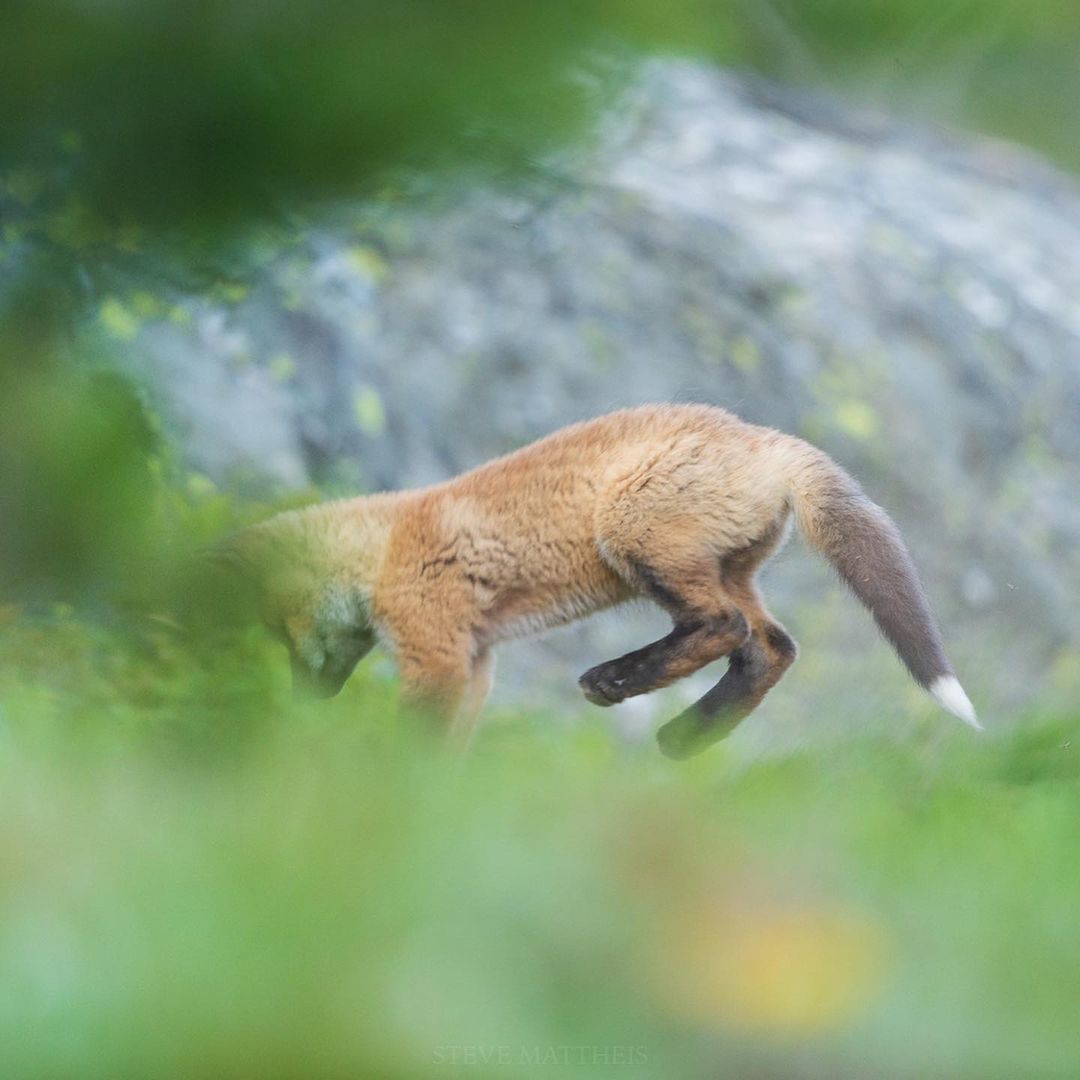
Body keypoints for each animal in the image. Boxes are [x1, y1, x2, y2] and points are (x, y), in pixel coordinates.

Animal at [210, 406, 980, 760]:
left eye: (282, 631)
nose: (303, 702)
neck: (387, 544)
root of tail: (762, 437)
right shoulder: (478, 660)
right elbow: (455, 745)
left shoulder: (436, 649)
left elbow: (416, 738)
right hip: (728, 569)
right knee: (771, 647)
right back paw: (686, 735)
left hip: (634, 537)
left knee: (722, 627)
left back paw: (616, 682)